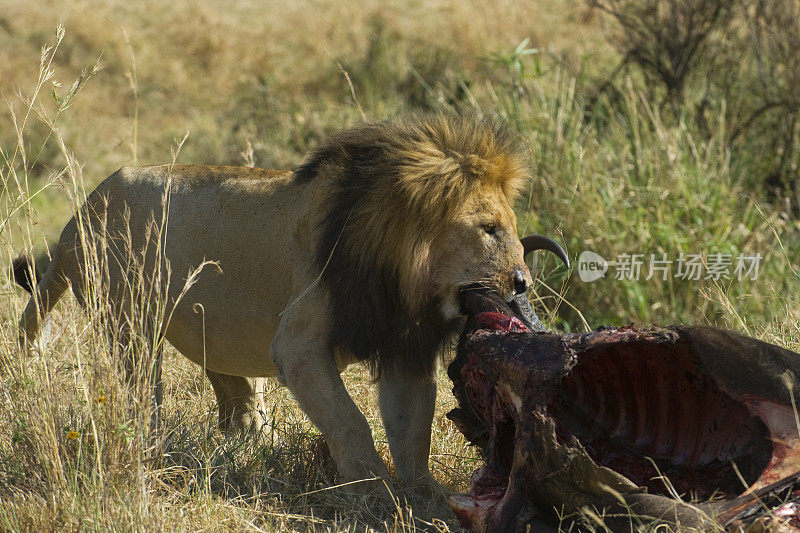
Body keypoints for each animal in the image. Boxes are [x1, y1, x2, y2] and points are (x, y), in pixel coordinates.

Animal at [12, 114, 564, 492]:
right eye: (488, 228)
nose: (521, 283)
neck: (408, 278)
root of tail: (80, 215)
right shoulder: (299, 342)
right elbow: (349, 421)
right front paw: (372, 491)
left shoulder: (403, 347)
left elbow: (414, 429)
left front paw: (421, 496)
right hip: (131, 324)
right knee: (142, 393)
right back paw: (153, 454)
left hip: (218, 333)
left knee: (236, 398)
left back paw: (251, 443)